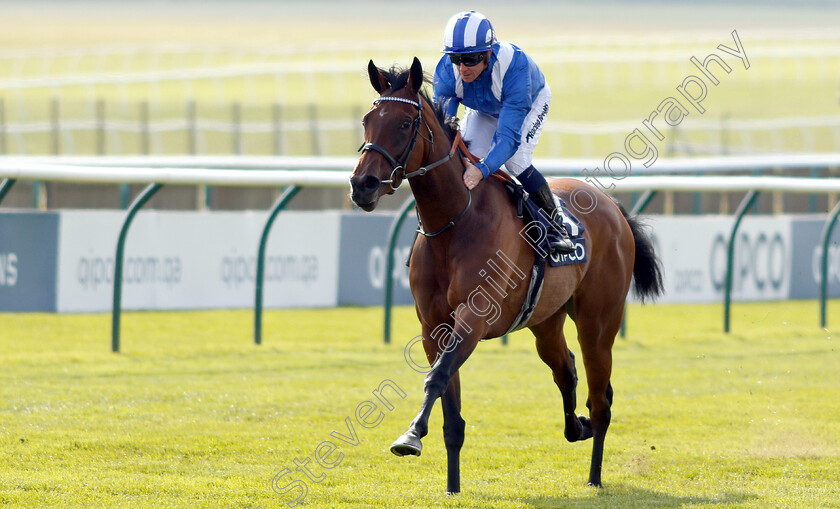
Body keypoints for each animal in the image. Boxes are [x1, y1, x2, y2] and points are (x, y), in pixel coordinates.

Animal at [348, 57, 664, 494]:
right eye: (367, 120)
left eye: (405, 124)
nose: (362, 184)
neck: (454, 220)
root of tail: (614, 208)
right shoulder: (433, 326)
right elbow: (449, 405)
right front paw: (452, 486)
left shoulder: (474, 318)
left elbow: (437, 377)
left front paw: (410, 435)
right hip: (545, 321)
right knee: (565, 370)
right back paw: (577, 428)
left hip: (599, 324)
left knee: (601, 399)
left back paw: (594, 477)